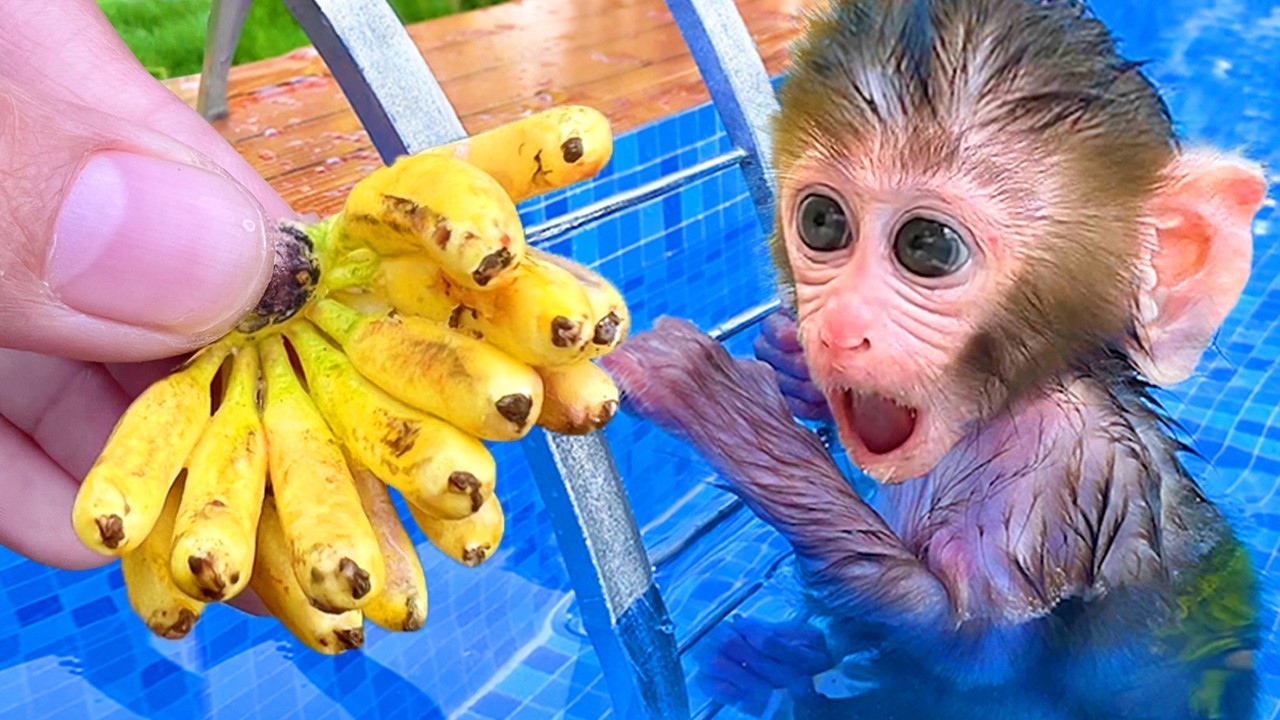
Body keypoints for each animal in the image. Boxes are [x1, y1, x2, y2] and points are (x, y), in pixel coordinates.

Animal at [598, 0, 1270, 718]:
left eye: (928, 246)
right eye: (822, 222)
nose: (839, 329)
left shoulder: (1054, 477)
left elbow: (969, 649)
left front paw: (727, 408)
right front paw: (787, 362)